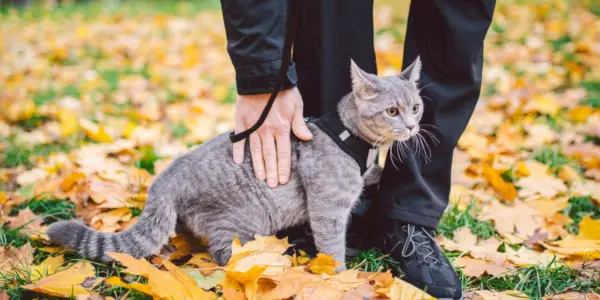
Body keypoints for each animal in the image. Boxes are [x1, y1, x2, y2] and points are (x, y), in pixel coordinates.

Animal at [47, 57, 424, 268]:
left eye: (416, 107)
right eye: (392, 111)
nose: (411, 126)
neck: (350, 139)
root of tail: (165, 178)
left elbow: (371, 173)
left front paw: (377, 172)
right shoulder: (327, 209)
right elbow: (332, 249)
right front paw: (341, 279)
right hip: (239, 223)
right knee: (223, 255)